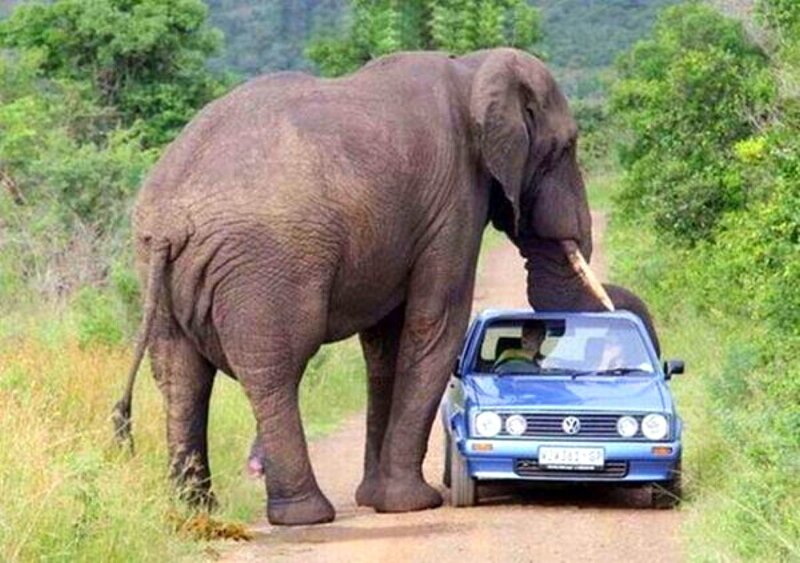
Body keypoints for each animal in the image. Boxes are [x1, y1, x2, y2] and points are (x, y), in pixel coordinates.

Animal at [112, 47, 659, 526]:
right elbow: (436, 323)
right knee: (275, 369)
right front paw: (411, 505)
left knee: (181, 375)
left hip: (157, 270)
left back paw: (195, 512)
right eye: (566, 148)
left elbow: (384, 346)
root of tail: (169, 219)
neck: (473, 68)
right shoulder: (454, 201)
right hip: (266, 266)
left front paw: (375, 499)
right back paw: (305, 516)